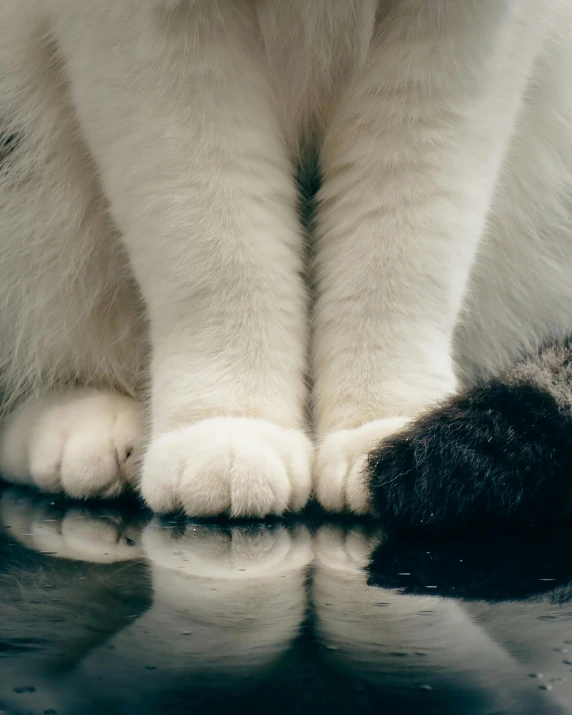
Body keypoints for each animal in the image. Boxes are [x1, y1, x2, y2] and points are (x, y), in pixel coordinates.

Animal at [0, 0, 572, 528]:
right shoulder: (141, 32)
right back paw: (87, 428)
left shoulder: (467, 32)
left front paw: (385, 424)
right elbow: (215, 242)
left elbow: (401, 240)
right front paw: (228, 426)